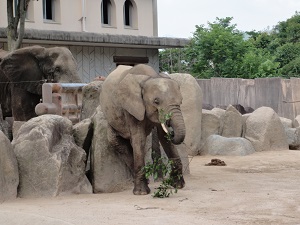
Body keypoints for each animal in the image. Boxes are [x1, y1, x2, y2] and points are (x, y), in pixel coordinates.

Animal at [99, 63, 186, 195]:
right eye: (156, 101)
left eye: (180, 101)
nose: (171, 131)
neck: (149, 78)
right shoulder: (130, 107)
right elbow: (138, 138)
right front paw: (141, 193)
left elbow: (163, 138)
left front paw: (178, 185)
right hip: (111, 118)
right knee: (117, 142)